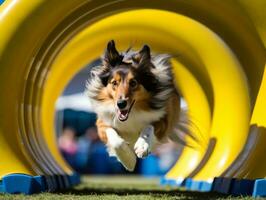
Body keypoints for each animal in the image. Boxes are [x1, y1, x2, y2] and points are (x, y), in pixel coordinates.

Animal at [85, 39, 185, 171]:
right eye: (114, 83)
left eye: (133, 83)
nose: (121, 104)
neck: (132, 114)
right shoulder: (102, 123)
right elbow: (116, 141)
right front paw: (129, 160)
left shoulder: (164, 118)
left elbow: (149, 127)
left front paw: (142, 146)